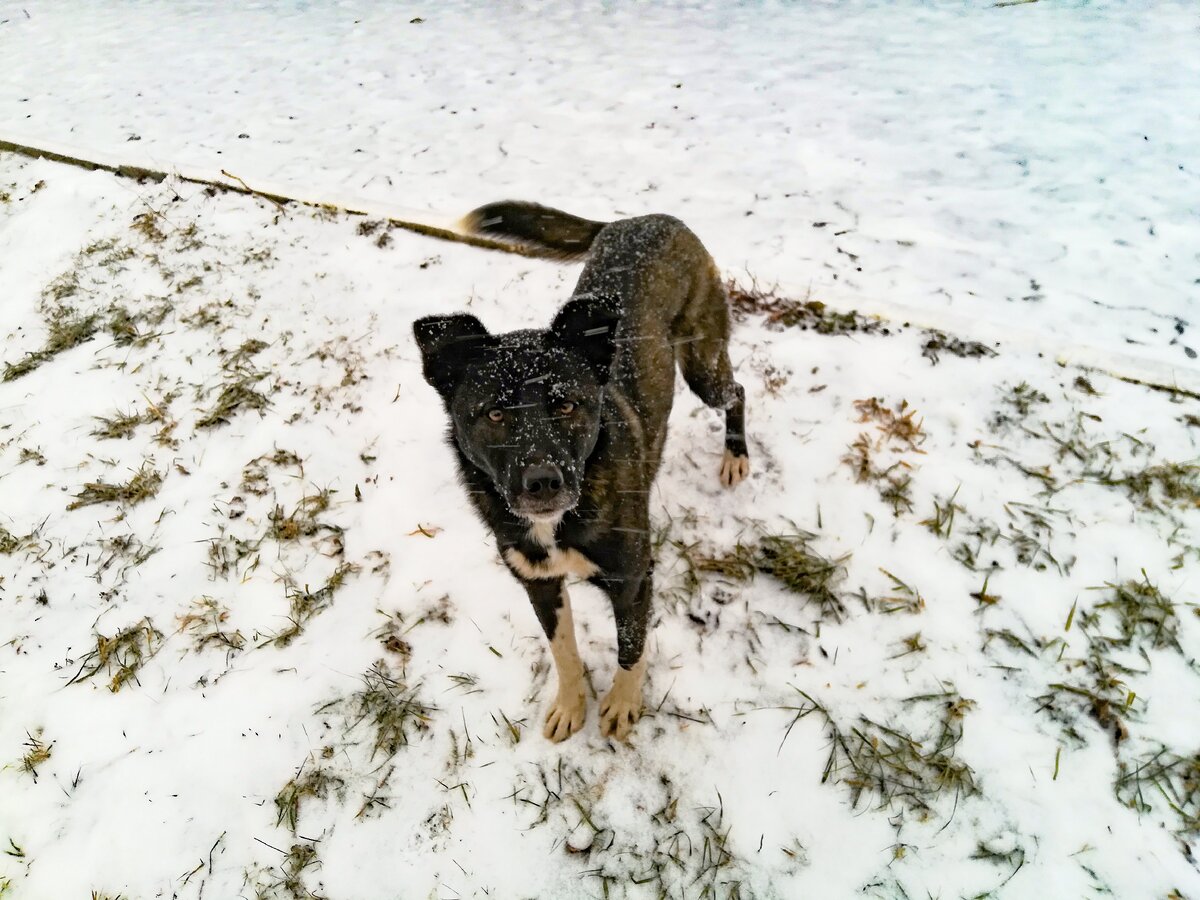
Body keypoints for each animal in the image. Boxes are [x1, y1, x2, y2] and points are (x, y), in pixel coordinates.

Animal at [415, 200, 748, 744]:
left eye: (567, 405)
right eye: (494, 414)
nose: (543, 483)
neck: (559, 522)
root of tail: (646, 219)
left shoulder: (634, 579)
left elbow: (631, 647)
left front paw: (622, 704)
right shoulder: (538, 582)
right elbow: (563, 650)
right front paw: (572, 705)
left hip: (704, 363)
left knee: (738, 391)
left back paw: (736, 454)